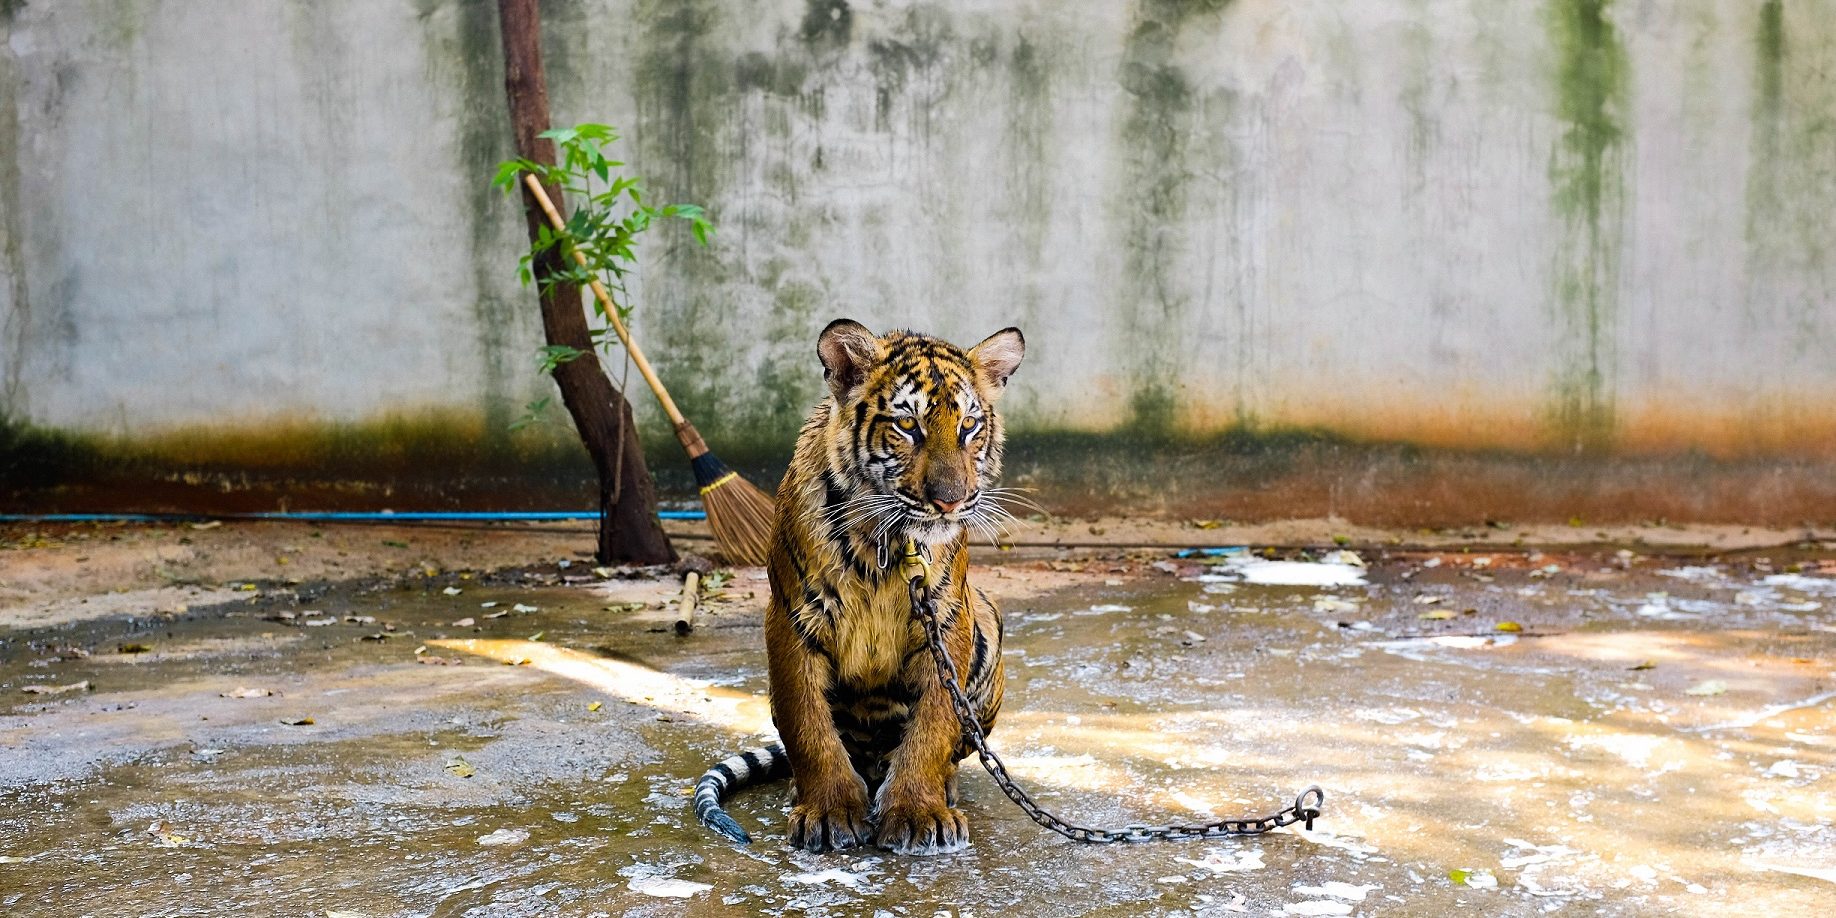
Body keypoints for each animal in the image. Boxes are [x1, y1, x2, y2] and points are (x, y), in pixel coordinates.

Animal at [693, 318, 1025, 855]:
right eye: (908, 426)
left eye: (969, 426)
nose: (951, 503)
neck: (883, 543)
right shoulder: (792, 619)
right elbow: (807, 726)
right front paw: (830, 810)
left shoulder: (945, 619)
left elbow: (934, 725)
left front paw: (918, 811)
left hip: (987, 619)